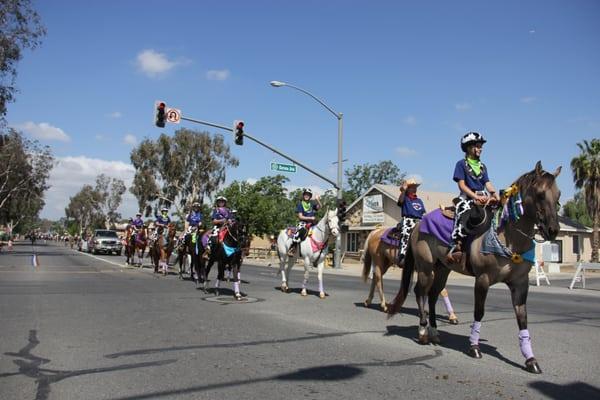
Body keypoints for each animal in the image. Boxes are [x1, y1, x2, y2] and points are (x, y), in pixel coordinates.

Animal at [390, 161, 564, 374]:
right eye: (540, 194)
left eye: (558, 195)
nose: (553, 230)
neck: (509, 236)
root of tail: (417, 224)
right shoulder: (483, 279)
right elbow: (479, 312)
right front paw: (474, 347)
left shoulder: (520, 284)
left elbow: (522, 318)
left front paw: (530, 359)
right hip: (425, 267)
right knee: (420, 292)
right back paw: (423, 332)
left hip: (443, 268)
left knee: (432, 295)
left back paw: (434, 332)